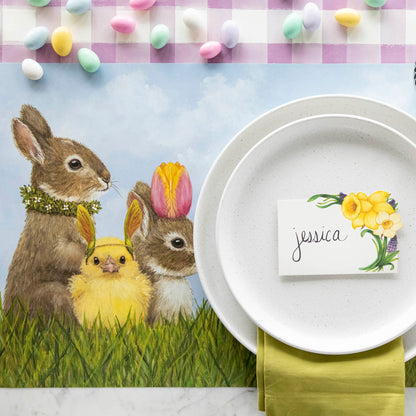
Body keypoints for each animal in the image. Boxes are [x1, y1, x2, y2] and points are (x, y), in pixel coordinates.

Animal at [3, 105, 110, 320]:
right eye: (75, 164)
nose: (107, 178)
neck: (59, 204)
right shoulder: (60, 245)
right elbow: (75, 256)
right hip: (54, 293)